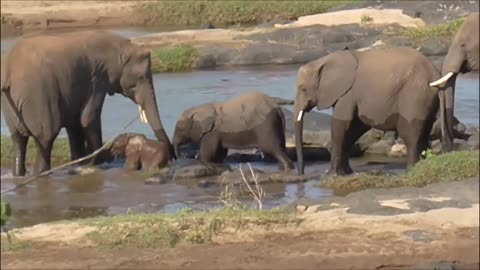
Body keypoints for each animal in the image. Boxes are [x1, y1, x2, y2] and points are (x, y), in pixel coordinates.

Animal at [0, 30, 173, 177]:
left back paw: (19, 175)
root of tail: (9, 73)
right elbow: (88, 119)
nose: (173, 156)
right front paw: (97, 162)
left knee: (19, 139)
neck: (120, 45)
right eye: (140, 78)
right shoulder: (96, 80)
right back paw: (41, 174)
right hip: (39, 96)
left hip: (10, 104)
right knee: (46, 137)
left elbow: (75, 124)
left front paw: (80, 164)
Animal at [294, 47, 448, 176]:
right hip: (426, 98)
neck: (323, 61)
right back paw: (420, 167)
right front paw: (347, 173)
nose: (301, 175)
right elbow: (356, 127)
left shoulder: (347, 93)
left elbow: (340, 123)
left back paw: (410, 171)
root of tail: (435, 74)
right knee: (424, 131)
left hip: (415, 95)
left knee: (410, 133)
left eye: (303, 89)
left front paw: (331, 175)